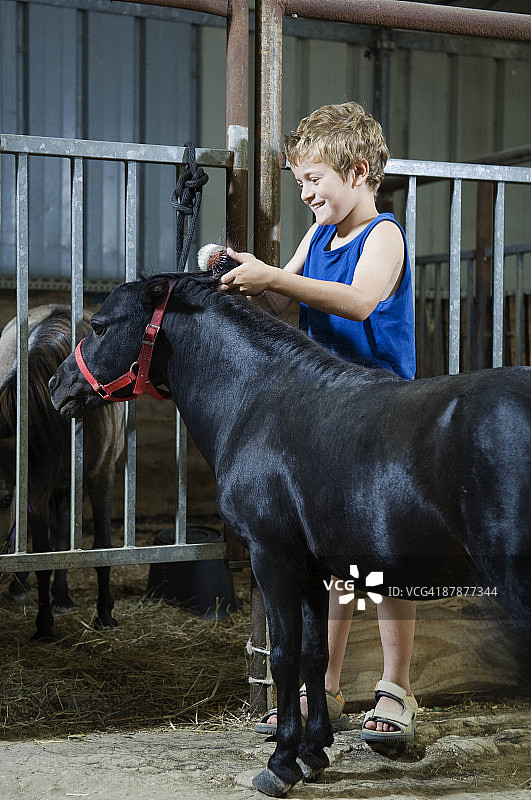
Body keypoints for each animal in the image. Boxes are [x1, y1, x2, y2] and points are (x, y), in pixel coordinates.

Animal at [0, 305, 124, 640]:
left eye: (3, 500)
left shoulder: (100, 476)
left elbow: (101, 547)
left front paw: (105, 613)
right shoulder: (34, 489)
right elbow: (42, 553)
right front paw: (43, 624)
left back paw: (63, 596)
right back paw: (22, 589)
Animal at [48, 269, 531, 797]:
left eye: (99, 326)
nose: (57, 385)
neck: (256, 403)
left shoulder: (272, 558)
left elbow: (282, 656)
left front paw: (280, 764)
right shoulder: (312, 570)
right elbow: (316, 654)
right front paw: (314, 752)